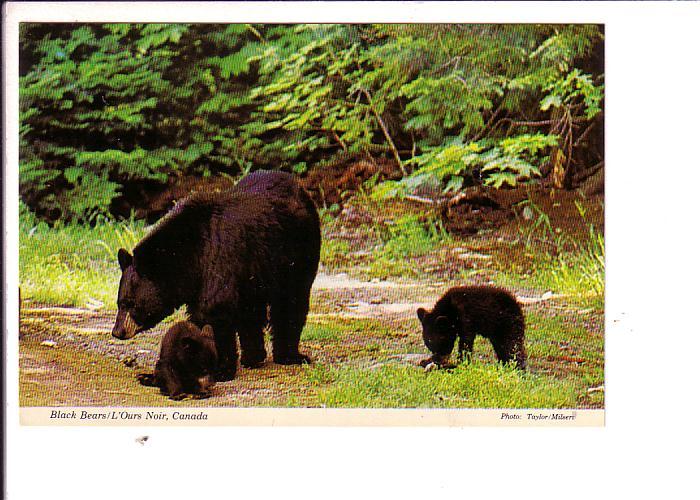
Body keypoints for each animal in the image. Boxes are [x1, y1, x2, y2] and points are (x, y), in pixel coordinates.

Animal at [113, 170, 322, 380]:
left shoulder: (220, 260)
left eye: (130, 304)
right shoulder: (197, 284)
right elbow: (199, 318)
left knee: (291, 301)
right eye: (119, 302)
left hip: (296, 252)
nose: (117, 331)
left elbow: (215, 311)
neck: (190, 253)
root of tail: (296, 183)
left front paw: (221, 369)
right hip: (255, 272)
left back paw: (289, 355)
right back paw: (253, 358)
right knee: (251, 312)